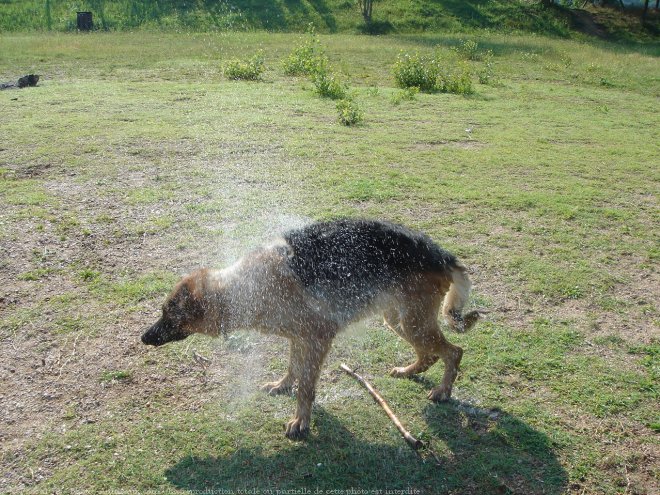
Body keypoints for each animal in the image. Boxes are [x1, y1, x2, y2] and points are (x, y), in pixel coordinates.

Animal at [142, 219, 480, 440]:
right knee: (431, 354)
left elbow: (306, 386)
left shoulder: (318, 338)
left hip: (413, 323)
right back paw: (409, 371)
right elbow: (293, 369)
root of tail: (441, 253)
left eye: (168, 314)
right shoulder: (299, 337)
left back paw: (443, 391)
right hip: (399, 320)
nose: (144, 338)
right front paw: (283, 386)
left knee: (454, 351)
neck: (247, 287)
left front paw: (300, 421)